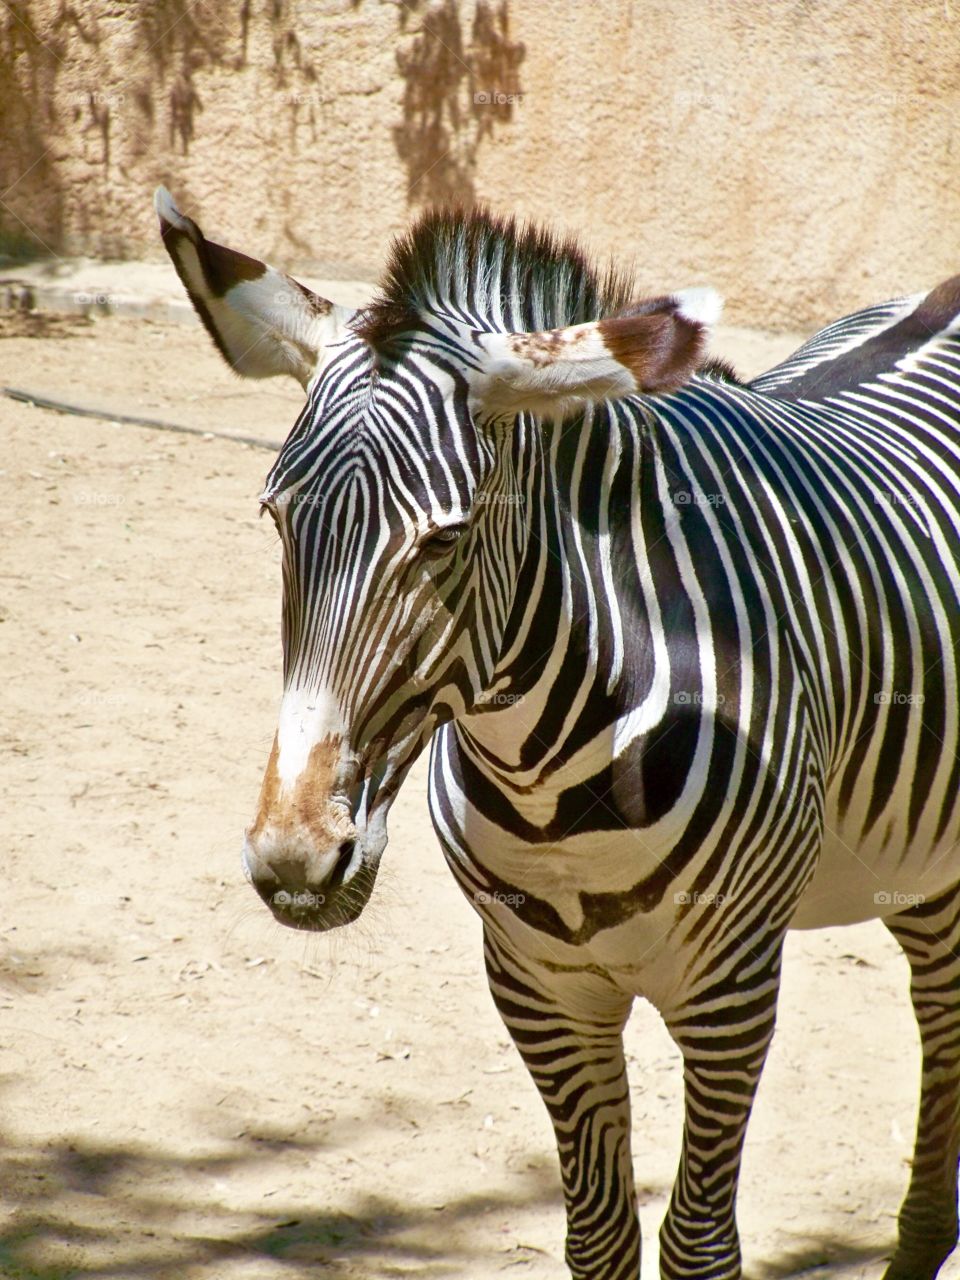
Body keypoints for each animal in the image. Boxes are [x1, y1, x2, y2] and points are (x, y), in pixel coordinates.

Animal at [156, 183, 960, 1280]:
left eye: (447, 540)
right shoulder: (539, 988)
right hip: (913, 864)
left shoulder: (733, 989)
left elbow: (699, 1241)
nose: (295, 859)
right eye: (277, 518)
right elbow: (600, 1234)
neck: (551, 786)